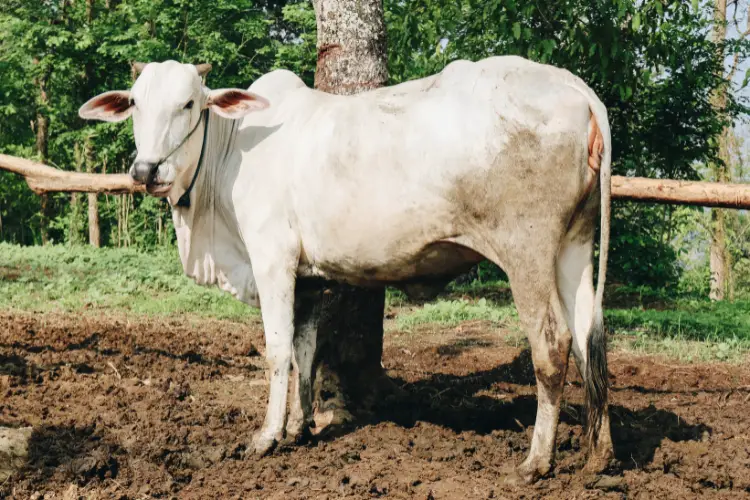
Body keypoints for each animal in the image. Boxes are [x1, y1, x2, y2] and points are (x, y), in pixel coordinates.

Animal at [79, 57, 612, 484]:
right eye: (135, 104)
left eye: (189, 104)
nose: (146, 171)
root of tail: (577, 88)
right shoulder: (309, 280)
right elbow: (304, 353)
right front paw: (300, 427)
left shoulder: (272, 260)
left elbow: (277, 352)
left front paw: (267, 436)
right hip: (574, 245)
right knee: (590, 339)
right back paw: (598, 457)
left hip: (527, 250)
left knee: (553, 343)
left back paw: (536, 463)